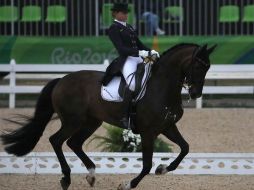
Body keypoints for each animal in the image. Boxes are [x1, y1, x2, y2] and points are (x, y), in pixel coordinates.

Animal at [0, 43, 216, 190]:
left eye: (207, 67)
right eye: (198, 66)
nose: (196, 93)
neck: (161, 87)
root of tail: (61, 80)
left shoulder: (167, 127)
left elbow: (185, 148)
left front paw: (163, 169)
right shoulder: (148, 132)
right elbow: (146, 165)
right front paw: (127, 184)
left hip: (91, 122)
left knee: (73, 143)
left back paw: (91, 174)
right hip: (73, 121)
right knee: (56, 140)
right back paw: (66, 178)